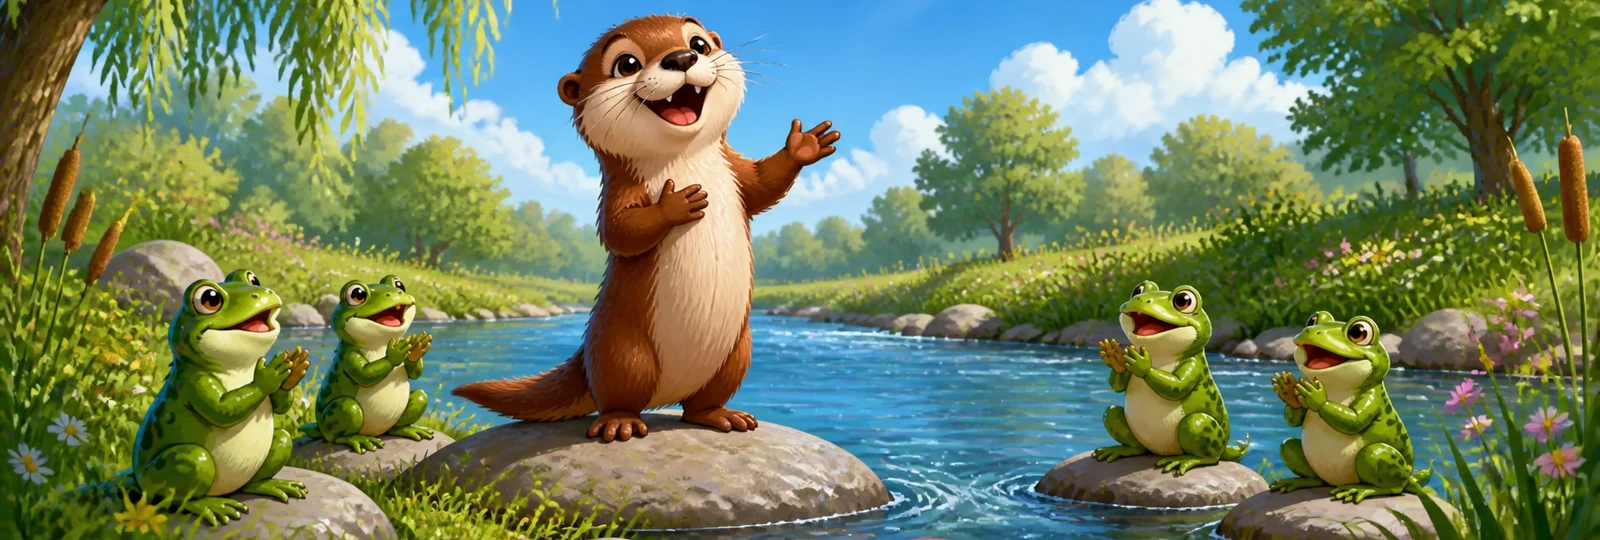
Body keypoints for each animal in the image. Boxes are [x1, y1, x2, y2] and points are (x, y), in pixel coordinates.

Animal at [451, 14, 840, 442]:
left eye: (699, 44)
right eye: (626, 64)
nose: (682, 57)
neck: (684, 160)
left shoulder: (736, 175)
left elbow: (762, 185)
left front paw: (802, 145)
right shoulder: (619, 193)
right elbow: (620, 232)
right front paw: (674, 204)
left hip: (737, 351)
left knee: (699, 404)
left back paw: (722, 415)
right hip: (622, 350)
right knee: (618, 392)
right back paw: (620, 423)